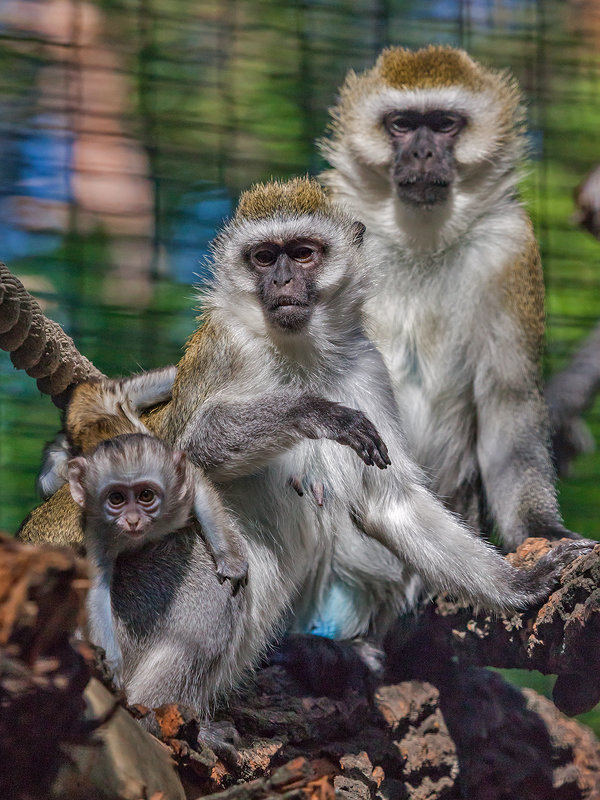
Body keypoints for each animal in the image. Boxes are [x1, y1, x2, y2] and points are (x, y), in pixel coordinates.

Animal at [318, 45, 576, 552]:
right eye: (401, 124)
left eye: (443, 125)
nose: (421, 152)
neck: (421, 241)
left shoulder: (509, 245)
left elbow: (508, 397)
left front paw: (542, 528)